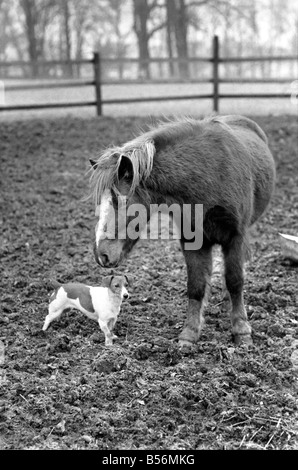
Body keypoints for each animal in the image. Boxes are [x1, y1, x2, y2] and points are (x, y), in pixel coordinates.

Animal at [88, 115, 274, 346]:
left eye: (117, 199)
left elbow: (235, 281)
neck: (209, 175)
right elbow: (196, 285)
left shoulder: (235, 238)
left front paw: (241, 329)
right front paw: (190, 333)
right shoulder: (192, 241)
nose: (101, 254)